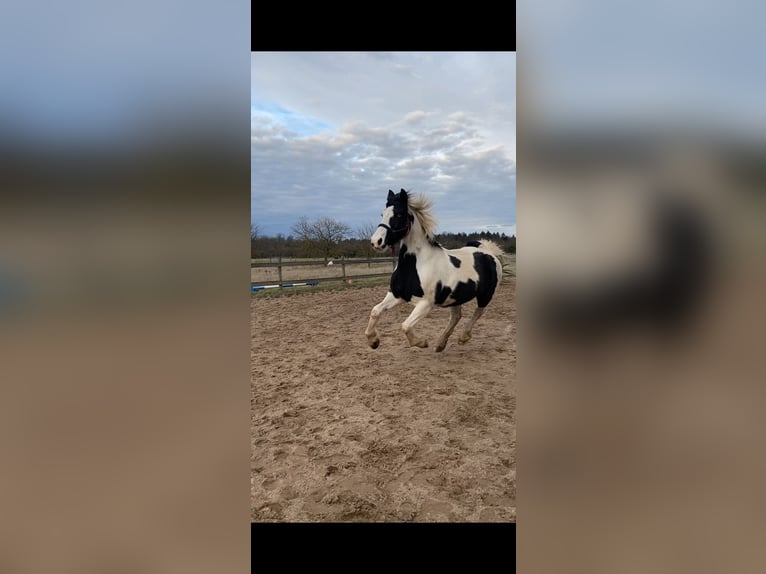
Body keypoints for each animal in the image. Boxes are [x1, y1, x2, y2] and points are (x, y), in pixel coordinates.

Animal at [365, 188, 504, 352]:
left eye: (399, 214)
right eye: (382, 214)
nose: (376, 242)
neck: (415, 265)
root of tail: (489, 253)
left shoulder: (425, 304)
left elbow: (405, 326)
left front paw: (421, 342)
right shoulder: (396, 295)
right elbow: (375, 311)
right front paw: (373, 341)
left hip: (485, 295)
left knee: (479, 312)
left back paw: (463, 338)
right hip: (455, 297)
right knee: (456, 316)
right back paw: (441, 344)